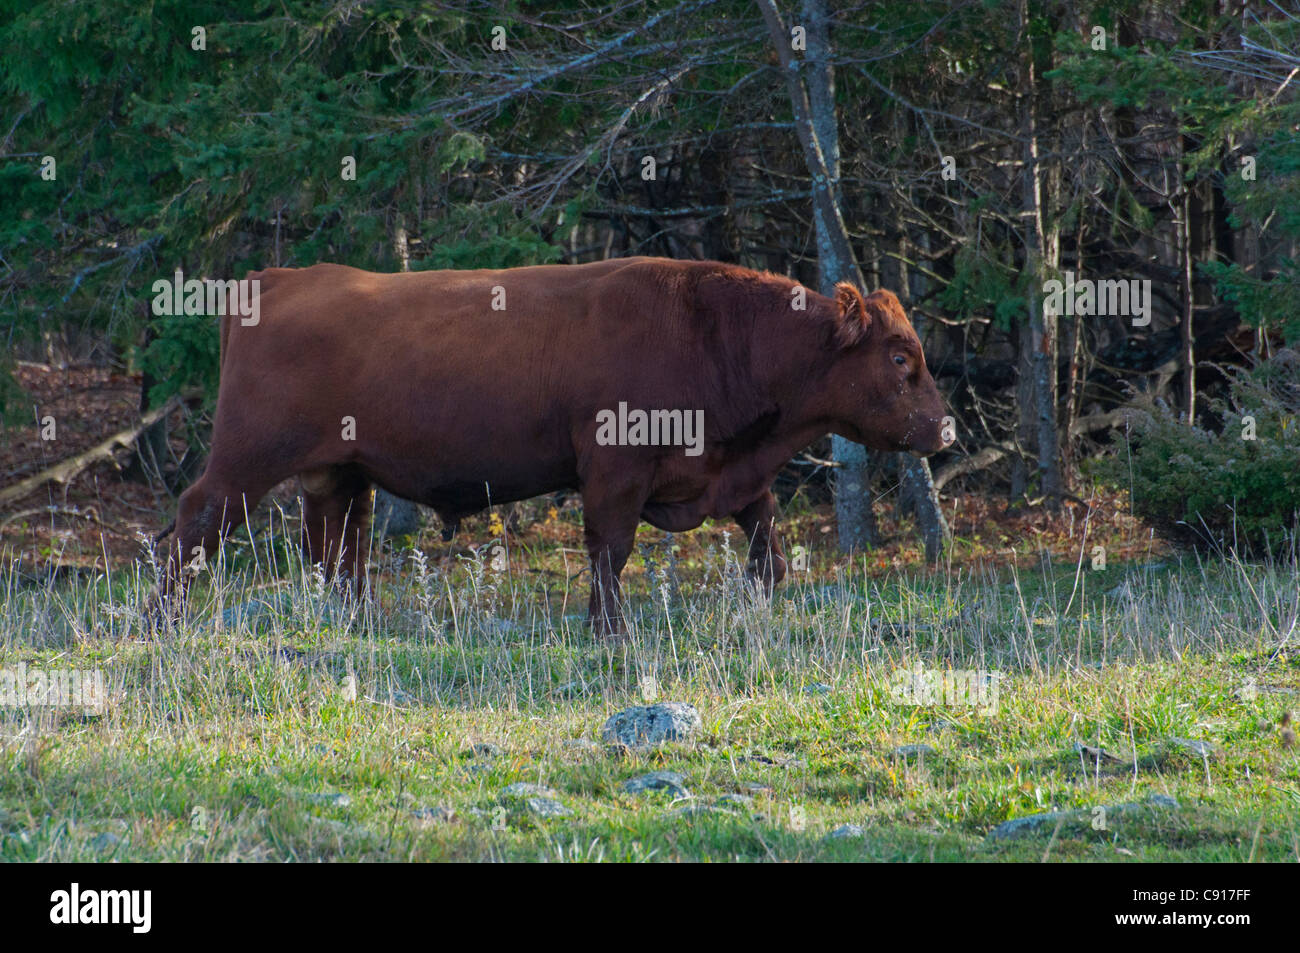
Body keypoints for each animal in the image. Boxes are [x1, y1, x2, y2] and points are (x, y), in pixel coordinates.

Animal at [159, 256, 956, 634]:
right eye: (898, 357)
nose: (945, 427)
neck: (711, 328)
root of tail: (277, 279)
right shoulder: (615, 472)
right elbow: (610, 550)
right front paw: (610, 632)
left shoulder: (724, 476)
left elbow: (768, 540)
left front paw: (755, 599)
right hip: (246, 461)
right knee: (198, 518)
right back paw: (161, 620)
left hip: (340, 474)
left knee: (336, 549)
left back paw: (352, 623)